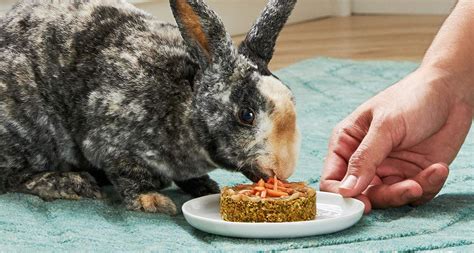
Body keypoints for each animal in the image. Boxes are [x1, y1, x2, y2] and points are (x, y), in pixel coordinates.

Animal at [0, 0, 300, 213]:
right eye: (246, 115)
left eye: (292, 97)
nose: (283, 170)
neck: (184, 105)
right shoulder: (112, 143)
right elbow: (129, 176)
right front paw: (153, 201)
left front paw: (205, 186)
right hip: (33, 133)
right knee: (12, 177)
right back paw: (73, 184)